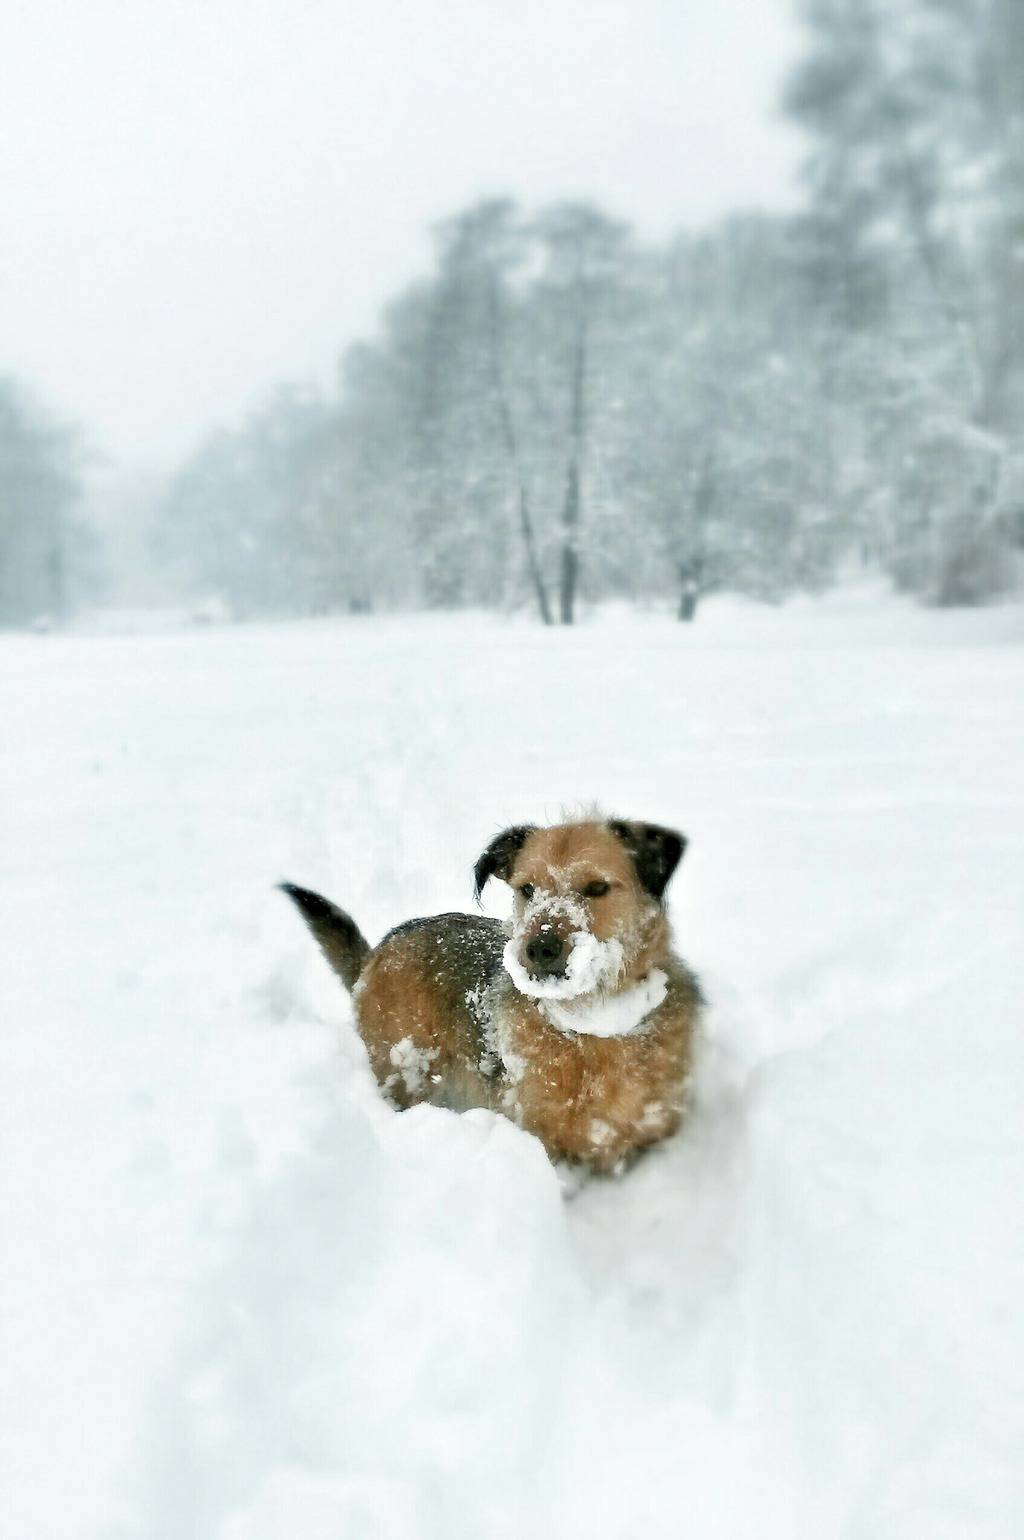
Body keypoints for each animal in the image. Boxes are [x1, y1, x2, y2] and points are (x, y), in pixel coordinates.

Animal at [281, 819, 702, 1164]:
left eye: (597, 887)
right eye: (526, 889)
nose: (539, 948)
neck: (592, 1022)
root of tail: (378, 951)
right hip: (404, 1070)